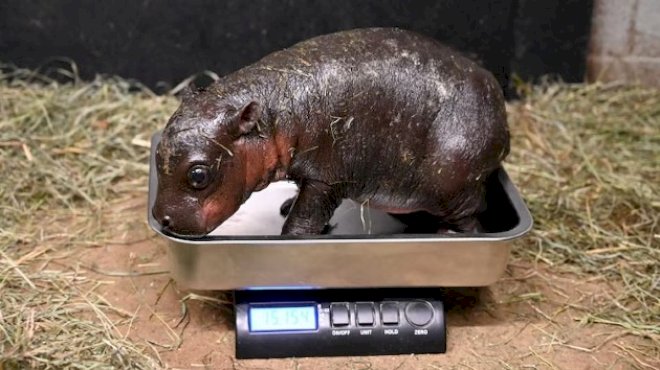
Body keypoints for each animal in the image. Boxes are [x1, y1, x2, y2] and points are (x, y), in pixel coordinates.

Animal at [152, 28, 508, 237]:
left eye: (198, 175)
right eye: (156, 155)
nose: (161, 219)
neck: (273, 112)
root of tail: (501, 114)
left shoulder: (326, 178)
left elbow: (306, 216)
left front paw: (291, 235)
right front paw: (286, 205)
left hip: (452, 182)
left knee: (471, 220)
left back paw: (449, 236)